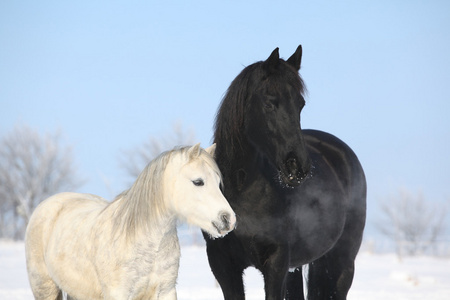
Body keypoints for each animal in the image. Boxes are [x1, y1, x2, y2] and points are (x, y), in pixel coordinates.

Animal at [204, 45, 366, 300]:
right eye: (270, 103)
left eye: (300, 104)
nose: (297, 167)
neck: (241, 189)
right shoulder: (223, 265)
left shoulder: (276, 263)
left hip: (342, 263)